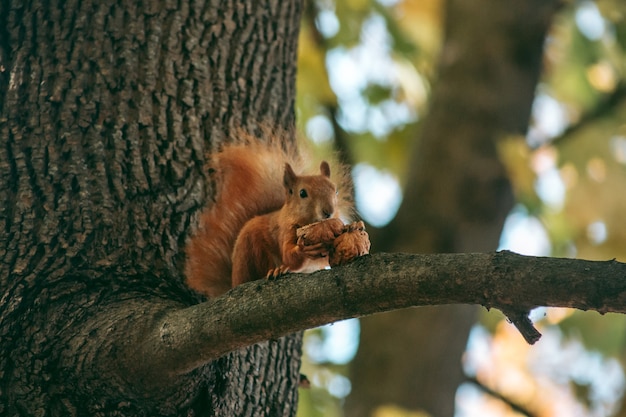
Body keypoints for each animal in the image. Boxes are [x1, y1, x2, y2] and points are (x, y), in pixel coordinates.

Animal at [183, 130, 354, 296]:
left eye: (336, 190)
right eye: (303, 193)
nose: (328, 212)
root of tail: (233, 281)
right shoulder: (284, 230)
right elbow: (289, 256)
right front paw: (303, 250)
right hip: (253, 251)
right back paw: (276, 270)